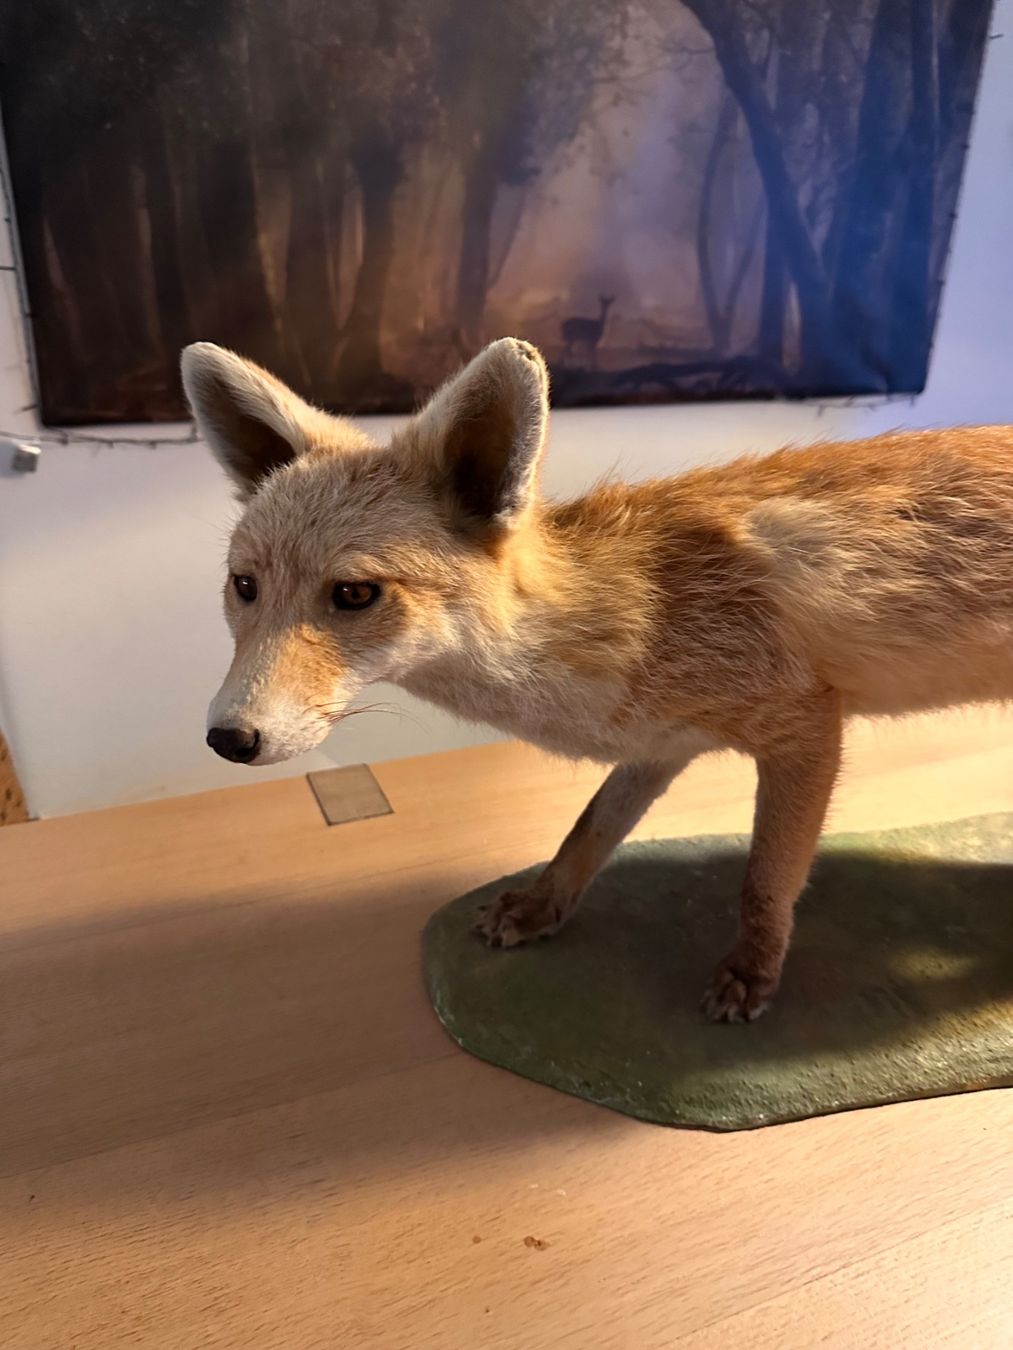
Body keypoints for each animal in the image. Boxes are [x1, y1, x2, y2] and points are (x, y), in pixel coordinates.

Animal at [182, 336, 1013, 1023]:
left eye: (353, 594)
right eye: (244, 587)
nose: (227, 739)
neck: (641, 608)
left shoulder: (805, 730)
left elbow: (763, 882)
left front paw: (752, 973)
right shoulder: (658, 742)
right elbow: (587, 830)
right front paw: (540, 909)